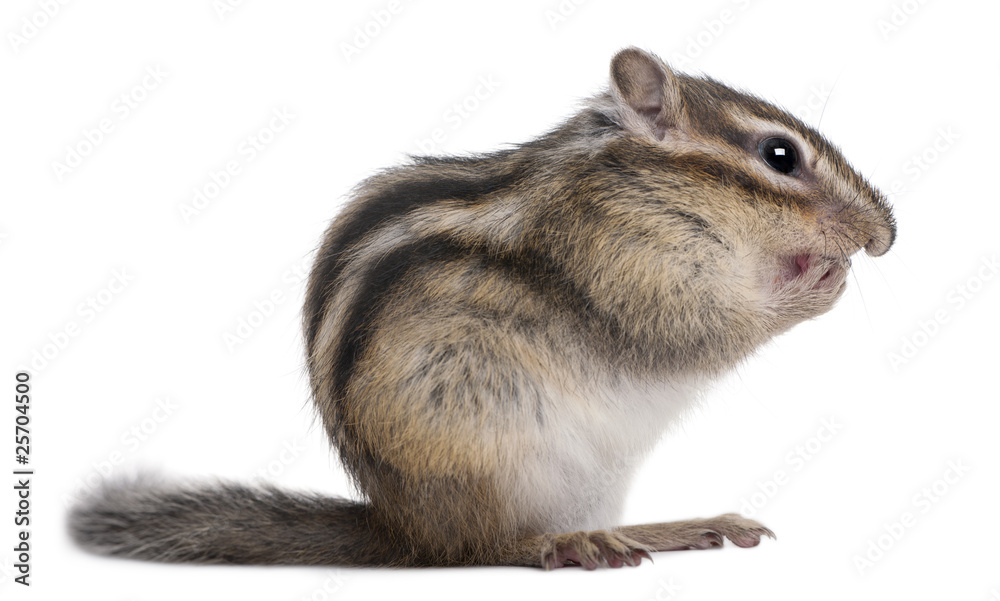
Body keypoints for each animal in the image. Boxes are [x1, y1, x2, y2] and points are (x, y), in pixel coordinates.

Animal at [69, 47, 896, 569]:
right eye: (780, 156)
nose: (885, 236)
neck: (642, 184)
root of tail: (404, 529)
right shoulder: (626, 263)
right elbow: (691, 331)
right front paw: (819, 283)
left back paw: (676, 526)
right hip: (497, 455)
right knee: (486, 548)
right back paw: (567, 546)